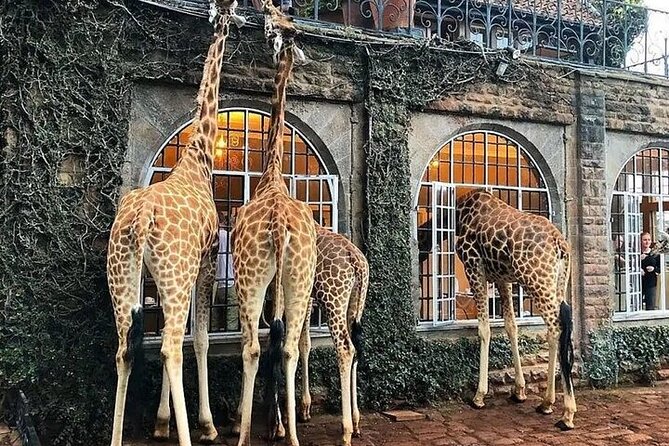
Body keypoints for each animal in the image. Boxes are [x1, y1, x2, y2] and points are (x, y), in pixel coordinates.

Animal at [107, 4, 242, 445]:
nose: (238, 20)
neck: (198, 158)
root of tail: (139, 220)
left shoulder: (165, 278)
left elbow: (179, 335)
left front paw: (160, 421)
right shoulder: (204, 263)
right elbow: (197, 339)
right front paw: (206, 423)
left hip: (125, 273)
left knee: (125, 348)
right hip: (175, 271)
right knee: (168, 347)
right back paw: (195, 432)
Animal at [272, 224, 369, 446]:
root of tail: (357, 263)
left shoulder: (279, 289)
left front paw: (279, 427)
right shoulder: (306, 299)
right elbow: (304, 343)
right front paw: (303, 409)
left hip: (333, 301)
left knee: (345, 349)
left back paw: (346, 431)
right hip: (355, 306)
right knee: (356, 349)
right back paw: (356, 422)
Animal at [455, 188, 576, 431]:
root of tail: (560, 244)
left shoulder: (474, 267)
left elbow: (484, 329)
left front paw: (479, 396)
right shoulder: (503, 278)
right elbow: (511, 326)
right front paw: (519, 390)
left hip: (536, 280)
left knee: (555, 327)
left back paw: (562, 410)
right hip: (558, 281)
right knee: (562, 324)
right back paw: (549, 404)